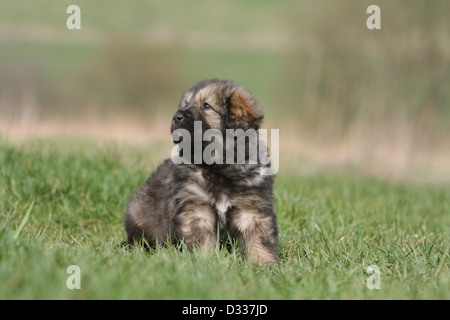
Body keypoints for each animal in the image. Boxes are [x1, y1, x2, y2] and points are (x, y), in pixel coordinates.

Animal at [123, 79, 278, 264]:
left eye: (206, 105)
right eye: (186, 103)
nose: (176, 117)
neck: (219, 167)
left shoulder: (251, 210)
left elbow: (259, 240)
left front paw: (263, 264)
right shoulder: (196, 208)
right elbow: (201, 239)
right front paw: (203, 262)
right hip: (138, 214)